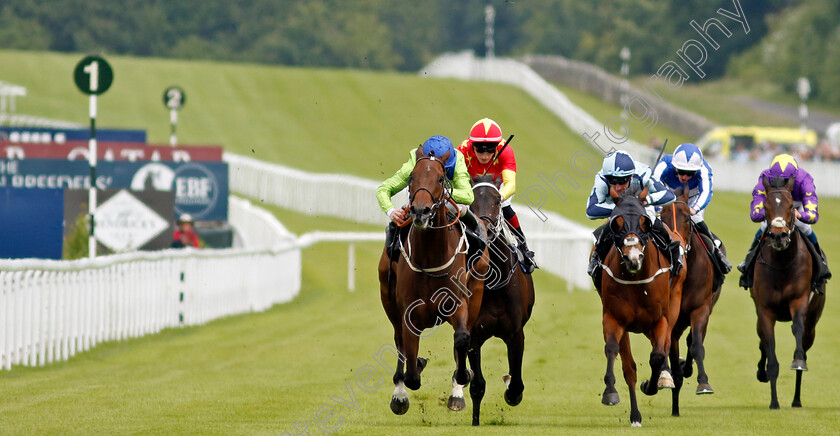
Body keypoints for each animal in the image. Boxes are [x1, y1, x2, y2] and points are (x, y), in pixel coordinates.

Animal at [378, 146, 488, 416]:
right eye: (411, 178)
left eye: (440, 179)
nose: (419, 211)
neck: (430, 256)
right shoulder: (408, 313)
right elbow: (410, 370)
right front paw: (408, 380)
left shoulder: (459, 303)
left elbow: (462, 338)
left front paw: (462, 380)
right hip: (388, 298)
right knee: (399, 342)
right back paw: (400, 393)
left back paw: (457, 392)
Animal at [462, 174, 536, 426]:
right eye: (471, 202)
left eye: (496, 200)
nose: (484, 228)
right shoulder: (474, 335)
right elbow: (477, 385)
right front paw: (474, 422)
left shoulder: (516, 334)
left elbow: (516, 383)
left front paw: (511, 392)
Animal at [596, 186, 684, 428]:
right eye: (616, 223)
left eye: (645, 222)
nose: (633, 258)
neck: (636, 280)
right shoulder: (614, 318)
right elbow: (614, 352)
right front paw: (610, 393)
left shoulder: (659, 319)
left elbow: (657, 356)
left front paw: (652, 384)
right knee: (630, 368)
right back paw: (635, 415)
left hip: (673, 306)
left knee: (664, 346)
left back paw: (665, 376)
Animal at [752, 175, 824, 408]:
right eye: (765, 206)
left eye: (792, 206)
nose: (779, 236)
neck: (782, 263)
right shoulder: (765, 311)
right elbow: (770, 349)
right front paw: (774, 401)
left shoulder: (799, 301)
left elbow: (797, 329)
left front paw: (798, 361)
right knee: (762, 342)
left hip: (813, 323)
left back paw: (796, 399)